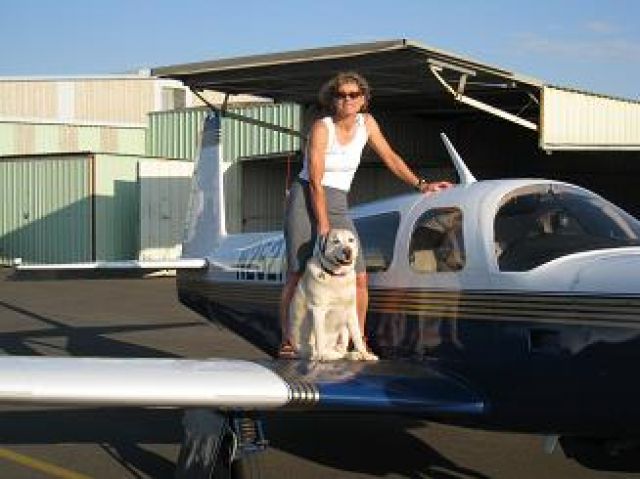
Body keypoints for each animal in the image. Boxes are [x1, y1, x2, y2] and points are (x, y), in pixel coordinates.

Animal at [288, 231, 378, 362]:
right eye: (336, 241)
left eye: (351, 240)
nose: (347, 251)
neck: (337, 276)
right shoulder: (318, 310)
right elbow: (320, 337)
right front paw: (321, 357)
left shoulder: (351, 310)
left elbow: (357, 336)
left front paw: (365, 354)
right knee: (319, 351)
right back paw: (322, 355)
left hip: (343, 328)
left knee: (341, 350)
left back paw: (352, 355)